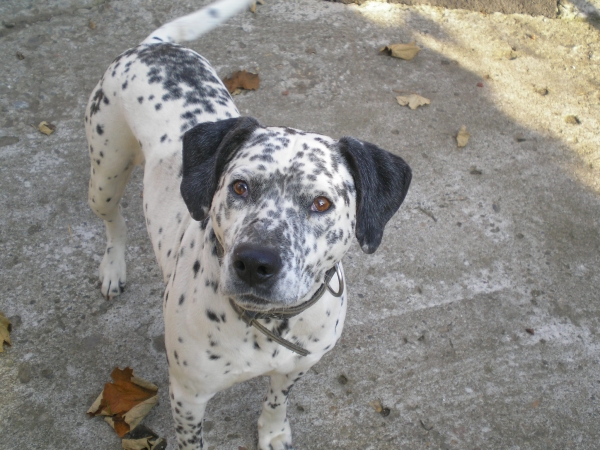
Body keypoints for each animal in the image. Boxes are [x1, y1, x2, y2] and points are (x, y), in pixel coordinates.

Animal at [85, 0, 411, 448]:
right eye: (239, 187)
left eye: (321, 203)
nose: (255, 263)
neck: (267, 324)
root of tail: (155, 46)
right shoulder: (187, 395)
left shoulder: (295, 367)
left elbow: (276, 400)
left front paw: (273, 431)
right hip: (105, 173)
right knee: (113, 220)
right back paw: (113, 268)